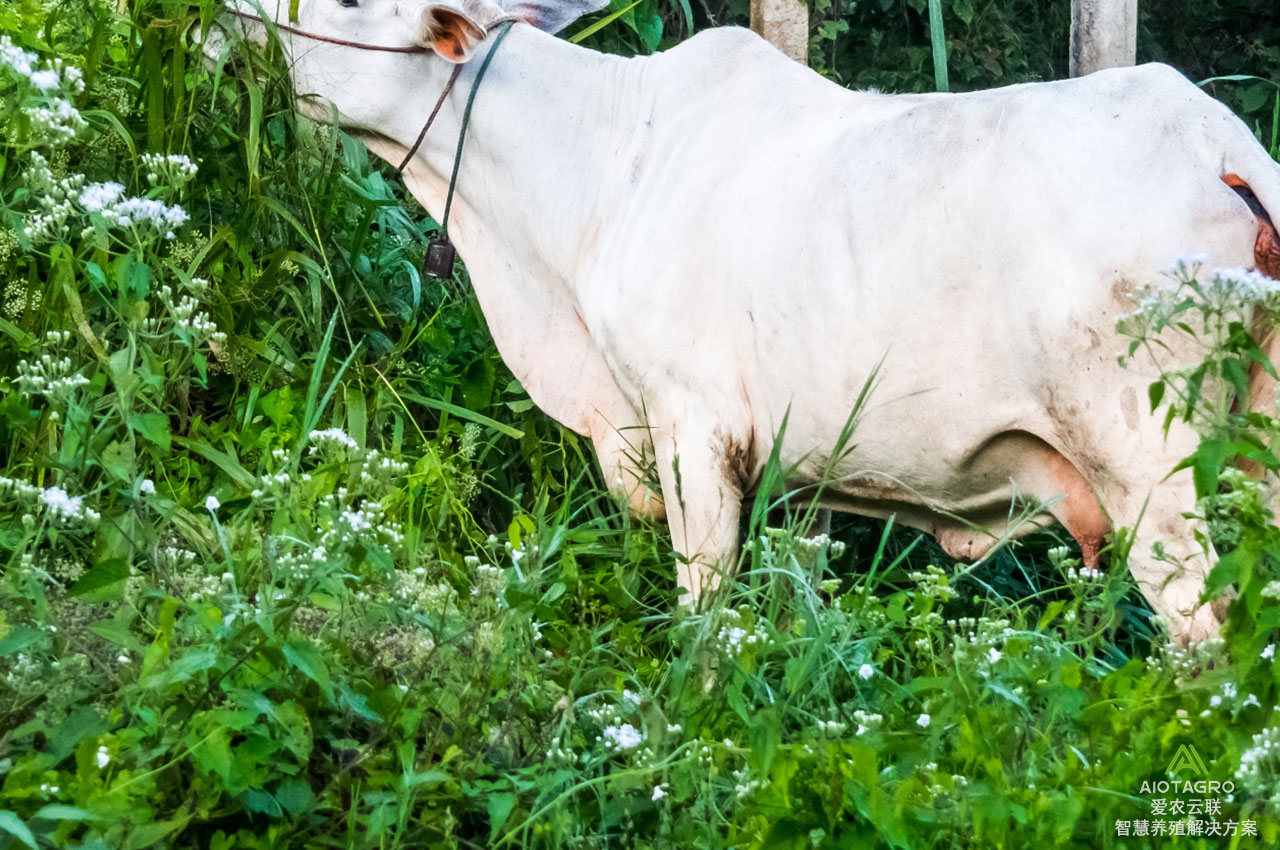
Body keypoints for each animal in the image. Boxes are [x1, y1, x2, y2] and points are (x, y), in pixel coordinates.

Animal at [217, 0, 1280, 640]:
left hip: (1158, 477)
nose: (223, 25)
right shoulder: (792, 467)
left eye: (347, 4)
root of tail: (1224, 148)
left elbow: (703, 613)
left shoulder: (692, 426)